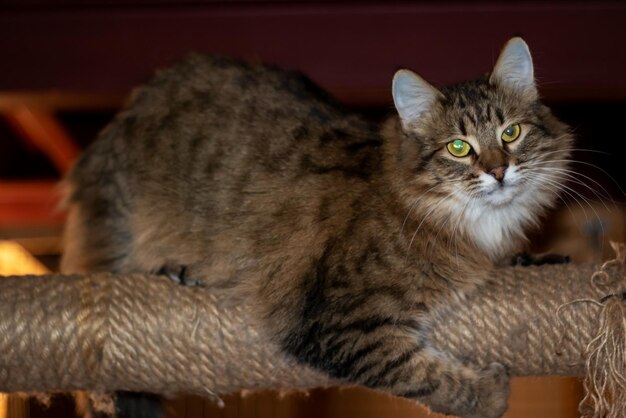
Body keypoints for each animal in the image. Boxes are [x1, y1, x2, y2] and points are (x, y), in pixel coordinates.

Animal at [62, 36, 572, 418]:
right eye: (459, 148)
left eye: (510, 133)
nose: (499, 171)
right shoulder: (338, 323)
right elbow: (426, 377)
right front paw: (491, 394)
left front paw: (538, 260)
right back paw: (178, 270)